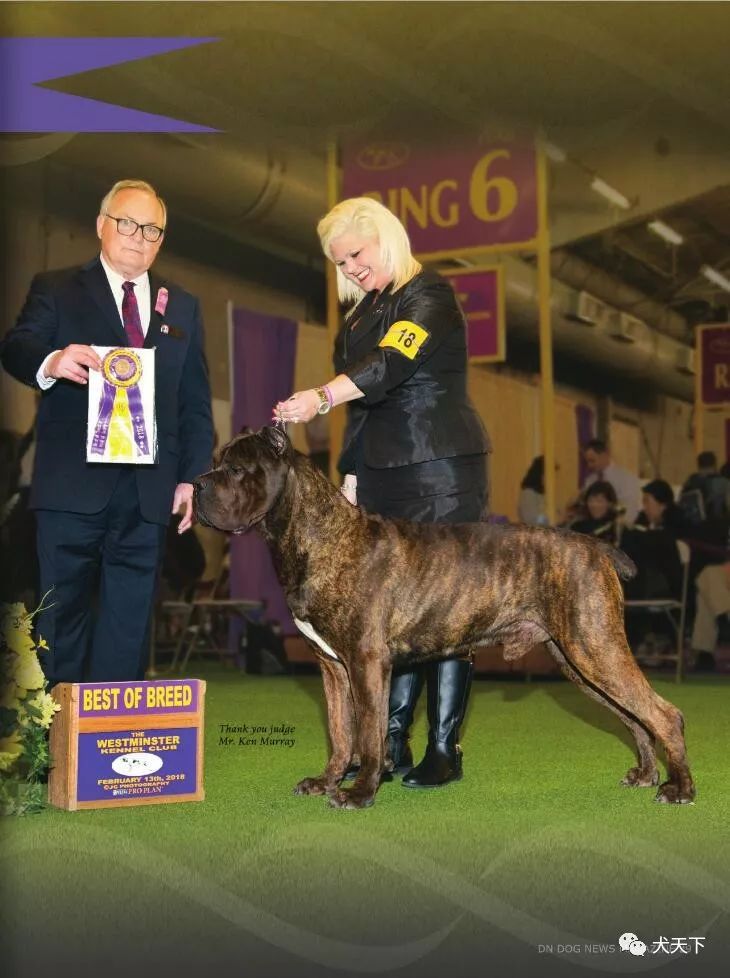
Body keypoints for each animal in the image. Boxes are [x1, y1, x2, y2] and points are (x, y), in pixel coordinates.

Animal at [192, 428, 692, 808]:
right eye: (216, 462)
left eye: (235, 469)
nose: (196, 485)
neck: (320, 536)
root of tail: (596, 545)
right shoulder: (332, 667)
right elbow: (340, 731)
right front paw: (328, 780)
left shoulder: (366, 662)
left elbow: (368, 732)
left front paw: (360, 792)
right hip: (579, 661)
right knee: (633, 716)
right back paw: (646, 774)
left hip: (595, 648)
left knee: (662, 713)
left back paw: (679, 788)